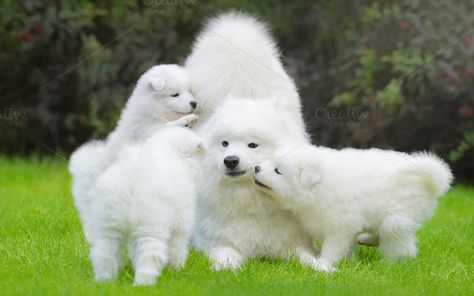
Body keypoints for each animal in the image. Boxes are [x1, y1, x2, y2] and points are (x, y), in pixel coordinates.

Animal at [84, 128, 206, 286]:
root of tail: (132, 178)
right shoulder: (181, 223)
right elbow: (177, 247)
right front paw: (176, 268)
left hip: (109, 226)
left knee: (104, 252)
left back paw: (106, 281)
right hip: (151, 226)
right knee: (150, 255)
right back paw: (144, 284)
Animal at [193, 96, 318, 270]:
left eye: (252, 145)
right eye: (225, 143)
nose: (230, 160)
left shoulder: (288, 243)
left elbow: (304, 256)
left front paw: (324, 267)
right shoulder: (218, 242)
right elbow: (227, 254)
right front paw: (227, 268)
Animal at [254, 145, 454, 272]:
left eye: (278, 171)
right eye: (271, 161)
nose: (256, 167)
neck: (320, 186)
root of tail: (430, 183)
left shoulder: (339, 228)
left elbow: (333, 248)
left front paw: (324, 263)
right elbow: (347, 246)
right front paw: (349, 261)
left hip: (397, 216)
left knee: (398, 242)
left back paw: (392, 263)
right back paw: (366, 239)